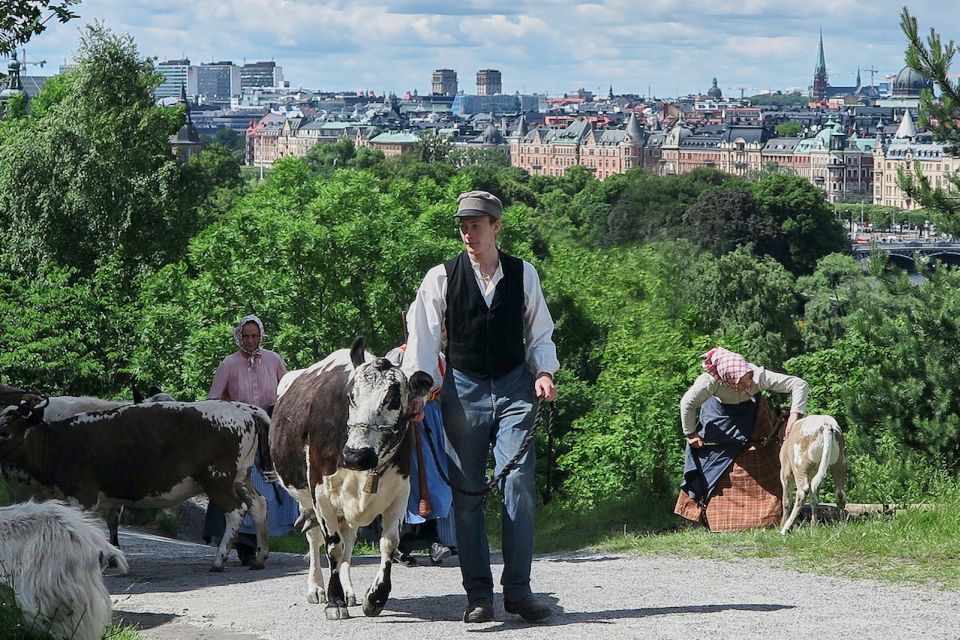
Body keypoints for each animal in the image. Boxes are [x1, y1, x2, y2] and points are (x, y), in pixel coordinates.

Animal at [0, 400, 272, 568]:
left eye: (5, 431)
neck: (60, 442)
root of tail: (241, 407)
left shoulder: (83, 496)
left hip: (217, 479)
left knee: (236, 512)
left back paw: (219, 561)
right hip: (240, 478)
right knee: (259, 504)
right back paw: (260, 557)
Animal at [272, 340, 434, 620]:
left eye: (393, 399)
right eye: (350, 396)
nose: (356, 455)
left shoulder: (400, 491)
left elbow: (388, 543)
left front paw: (376, 597)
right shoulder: (321, 494)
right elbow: (333, 547)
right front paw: (334, 601)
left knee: (348, 540)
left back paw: (348, 590)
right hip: (304, 499)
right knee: (315, 539)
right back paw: (316, 588)